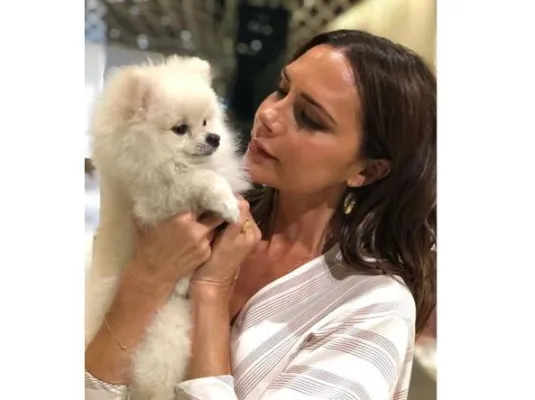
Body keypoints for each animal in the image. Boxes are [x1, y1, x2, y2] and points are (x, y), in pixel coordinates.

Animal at [85, 55, 249, 399]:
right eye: (180, 129)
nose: (214, 139)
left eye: (206, 122)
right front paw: (226, 202)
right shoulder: (156, 200)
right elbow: (202, 180)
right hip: (167, 333)